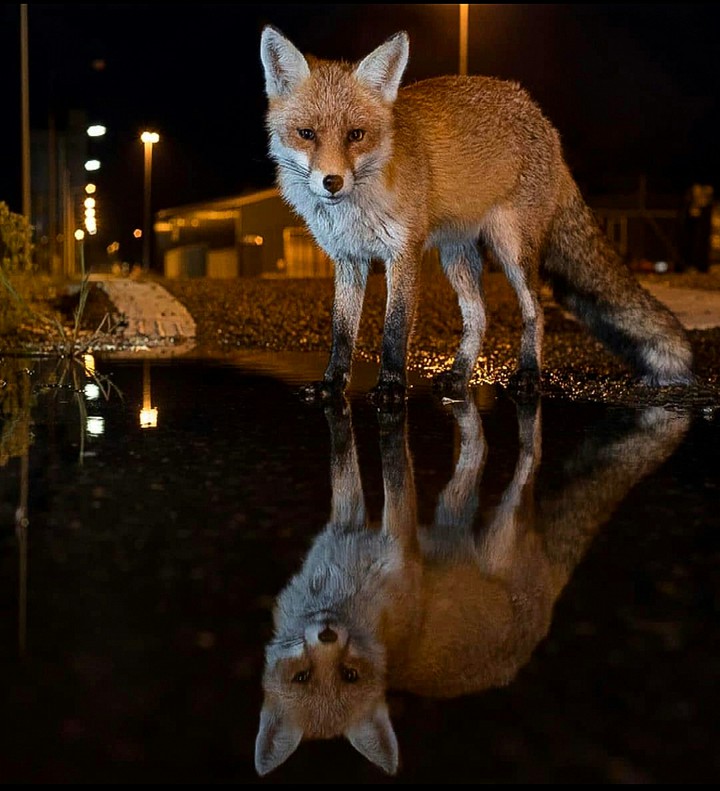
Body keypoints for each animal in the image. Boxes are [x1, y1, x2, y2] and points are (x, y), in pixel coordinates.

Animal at [254, 394, 689, 776]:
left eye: (349, 675)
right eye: (302, 677)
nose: (328, 633)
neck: (346, 593)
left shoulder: (400, 545)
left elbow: (395, 478)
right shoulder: (343, 527)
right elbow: (345, 466)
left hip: (502, 526)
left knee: (526, 460)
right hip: (453, 517)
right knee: (470, 470)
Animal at [259, 26, 694, 405]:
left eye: (356, 135)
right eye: (307, 134)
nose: (332, 182)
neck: (355, 209)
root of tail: (542, 119)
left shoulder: (404, 253)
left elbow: (394, 328)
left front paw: (391, 387)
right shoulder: (349, 259)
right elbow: (342, 332)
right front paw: (332, 386)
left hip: (512, 249)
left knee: (535, 313)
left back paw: (528, 375)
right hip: (457, 257)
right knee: (479, 317)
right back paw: (458, 375)